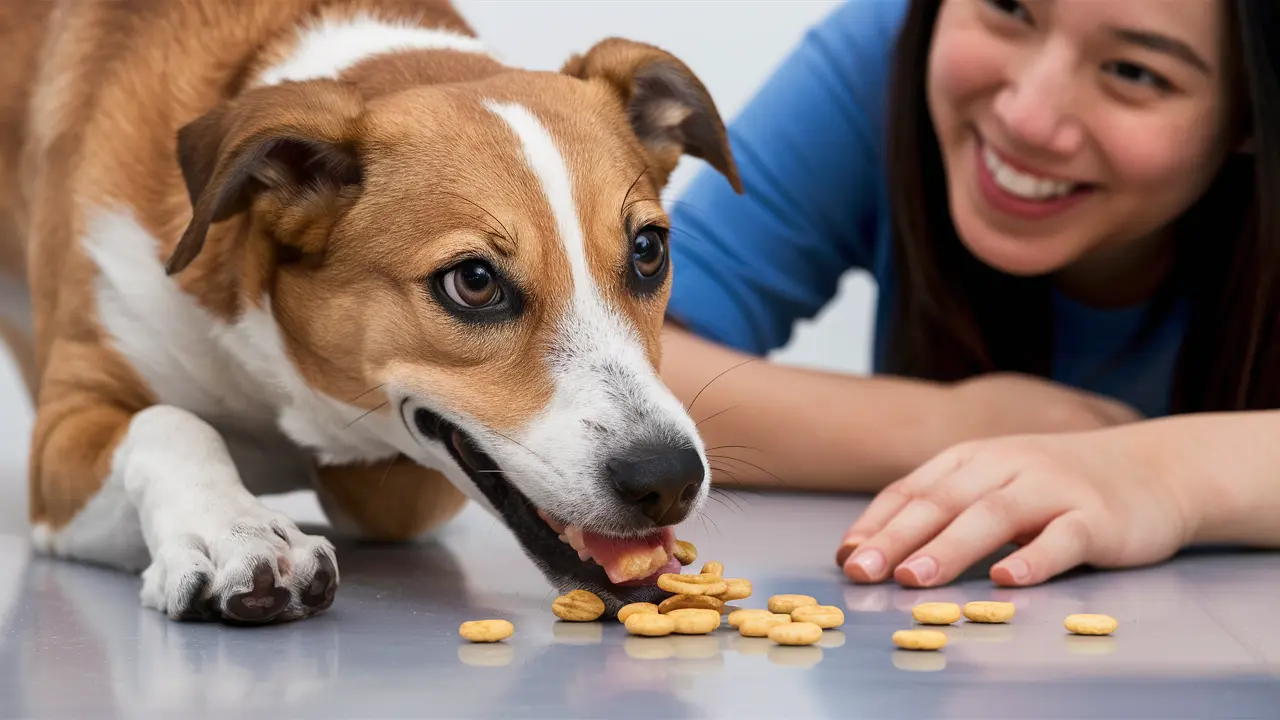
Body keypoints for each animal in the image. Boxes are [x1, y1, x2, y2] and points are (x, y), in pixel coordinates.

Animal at [0, 0, 742, 620]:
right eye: (474, 281)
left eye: (648, 250)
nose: (668, 480)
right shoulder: (63, 434)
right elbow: (171, 422)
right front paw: (232, 530)